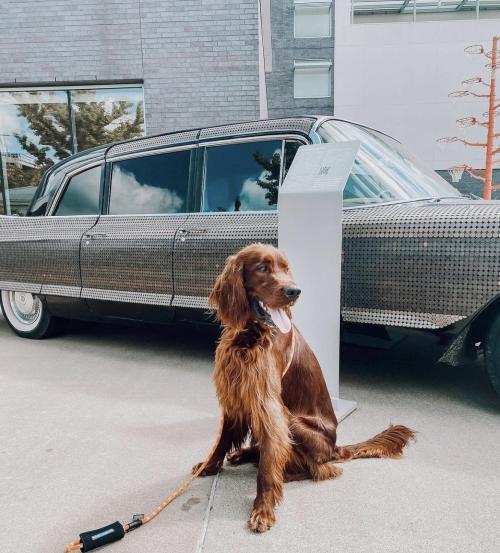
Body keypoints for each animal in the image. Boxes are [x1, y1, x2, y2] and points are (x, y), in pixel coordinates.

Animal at [194, 244, 414, 532]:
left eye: (286, 268)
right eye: (263, 268)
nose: (294, 291)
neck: (249, 336)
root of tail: (334, 449)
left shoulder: (267, 403)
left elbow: (269, 464)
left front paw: (263, 509)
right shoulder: (235, 393)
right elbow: (222, 441)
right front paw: (209, 466)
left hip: (294, 422)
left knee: (318, 469)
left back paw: (284, 477)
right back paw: (245, 454)